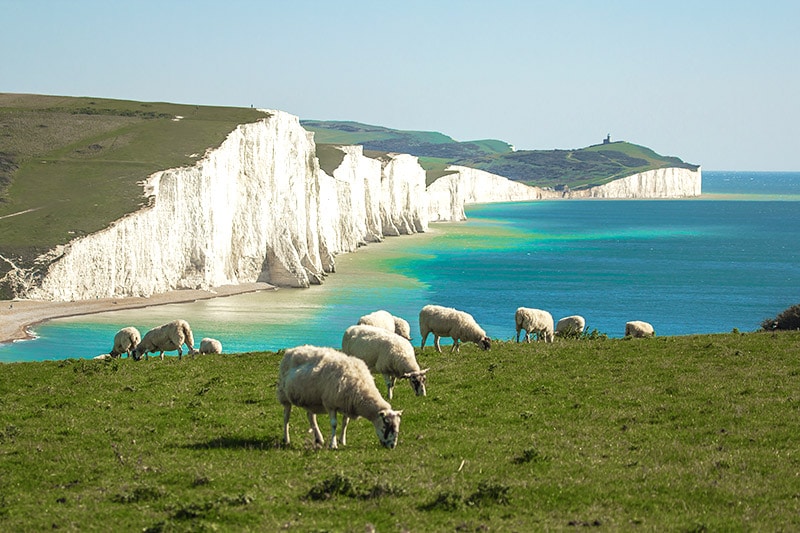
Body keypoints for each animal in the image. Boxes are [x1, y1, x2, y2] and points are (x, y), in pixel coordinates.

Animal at [276, 344, 404, 448]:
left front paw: (342, 440)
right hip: (284, 394)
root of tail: (292, 350)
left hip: (311, 399)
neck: (361, 388)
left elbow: (345, 423)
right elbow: (334, 424)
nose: (392, 446)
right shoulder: (330, 404)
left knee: (311, 417)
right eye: (385, 426)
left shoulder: (347, 403)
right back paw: (286, 439)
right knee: (286, 417)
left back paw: (319, 439)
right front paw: (333, 444)